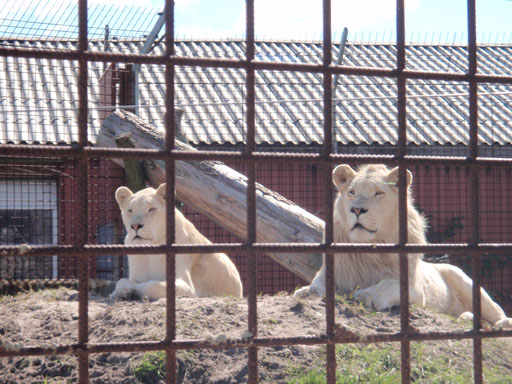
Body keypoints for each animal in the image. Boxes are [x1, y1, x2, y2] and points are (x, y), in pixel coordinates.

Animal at [108, 183, 244, 300]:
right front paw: (120, 292)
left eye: (152, 209)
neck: (150, 250)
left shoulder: (187, 287)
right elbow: (121, 281)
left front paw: (133, 289)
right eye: (130, 211)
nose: (135, 226)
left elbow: (153, 285)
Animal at [294, 164, 512, 328]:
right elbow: (317, 284)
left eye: (378, 193)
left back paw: (501, 323)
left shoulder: (416, 291)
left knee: (496, 312)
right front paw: (306, 291)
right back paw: (466, 316)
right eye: (352, 192)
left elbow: (390, 283)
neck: (369, 248)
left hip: (466, 281)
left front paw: (367, 295)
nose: (356, 209)